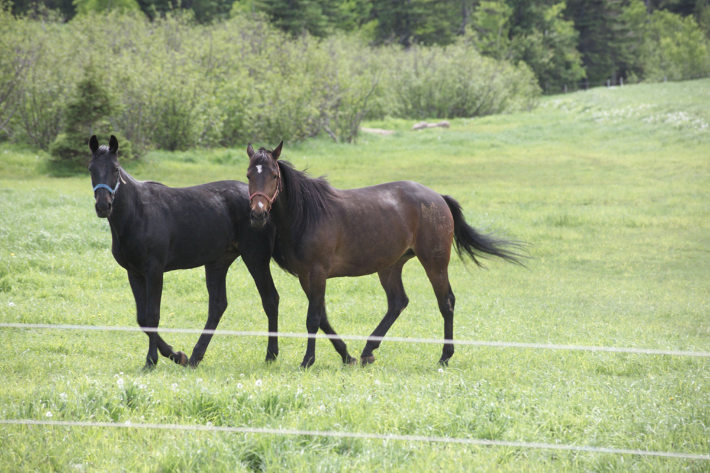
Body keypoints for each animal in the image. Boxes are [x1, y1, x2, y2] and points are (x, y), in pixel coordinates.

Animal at [92, 134, 284, 368]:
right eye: (91, 169)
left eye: (116, 169)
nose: (103, 206)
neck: (137, 212)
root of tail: (263, 206)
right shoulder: (134, 273)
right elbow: (142, 318)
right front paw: (176, 355)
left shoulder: (154, 270)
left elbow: (152, 315)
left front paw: (153, 360)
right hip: (218, 262)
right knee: (218, 306)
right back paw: (194, 357)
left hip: (256, 258)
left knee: (270, 299)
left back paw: (271, 354)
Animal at [248, 142, 524, 366]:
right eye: (249, 174)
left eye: (274, 175)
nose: (258, 213)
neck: (307, 214)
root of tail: (438, 197)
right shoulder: (307, 277)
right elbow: (323, 318)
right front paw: (346, 355)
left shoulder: (317, 273)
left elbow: (313, 318)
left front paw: (308, 360)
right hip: (390, 266)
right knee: (398, 302)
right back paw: (368, 350)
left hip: (434, 263)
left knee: (446, 302)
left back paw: (445, 356)